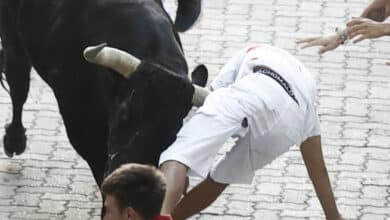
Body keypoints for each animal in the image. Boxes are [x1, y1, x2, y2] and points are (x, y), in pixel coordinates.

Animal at [0, 0, 207, 186]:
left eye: (176, 127)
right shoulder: (78, 120)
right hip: (12, 34)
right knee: (18, 82)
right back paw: (14, 141)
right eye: (124, 113)